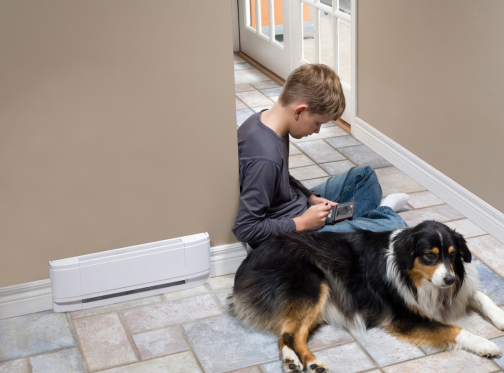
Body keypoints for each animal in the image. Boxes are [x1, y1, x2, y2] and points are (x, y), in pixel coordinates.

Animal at [227, 219, 504, 372]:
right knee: (291, 334)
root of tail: (248, 260)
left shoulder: (457, 290)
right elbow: (454, 329)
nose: (449, 280)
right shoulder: (405, 318)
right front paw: (485, 344)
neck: (414, 277)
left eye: (453, 255)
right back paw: (312, 362)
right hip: (315, 285)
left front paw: (500, 318)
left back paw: (293, 361)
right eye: (429, 256)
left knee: (286, 333)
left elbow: (481, 296)